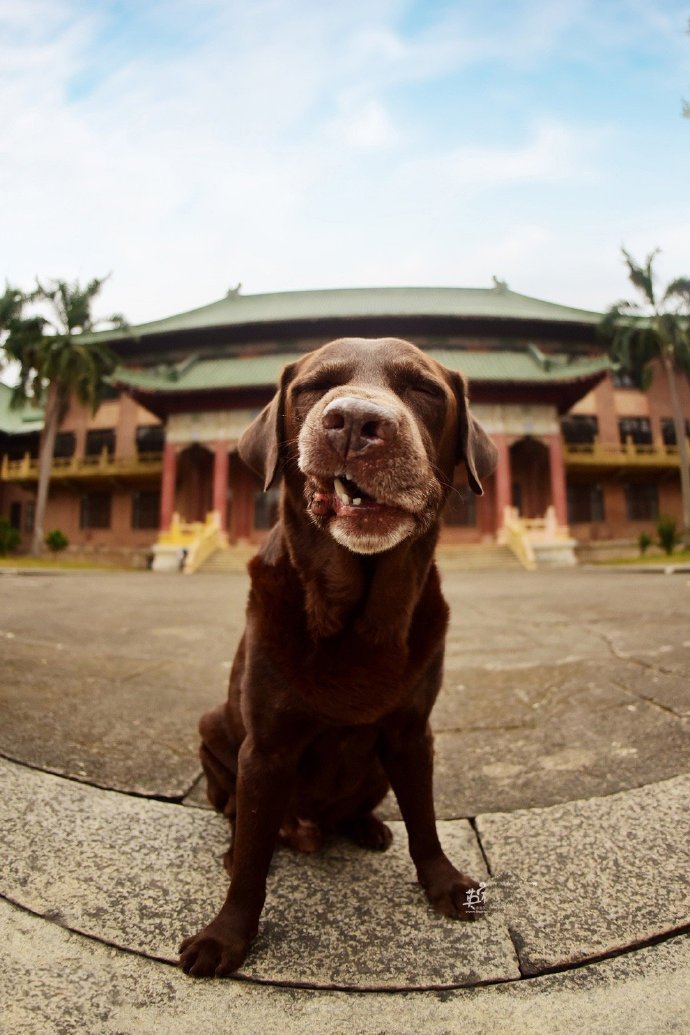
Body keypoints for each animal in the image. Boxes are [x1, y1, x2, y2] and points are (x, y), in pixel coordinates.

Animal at [177, 335, 496, 972]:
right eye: (315, 387)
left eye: (422, 389)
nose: (354, 421)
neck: (357, 615)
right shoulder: (266, 746)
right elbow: (251, 863)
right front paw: (226, 937)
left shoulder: (411, 733)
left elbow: (424, 820)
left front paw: (445, 884)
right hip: (215, 730)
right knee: (238, 817)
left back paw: (367, 828)